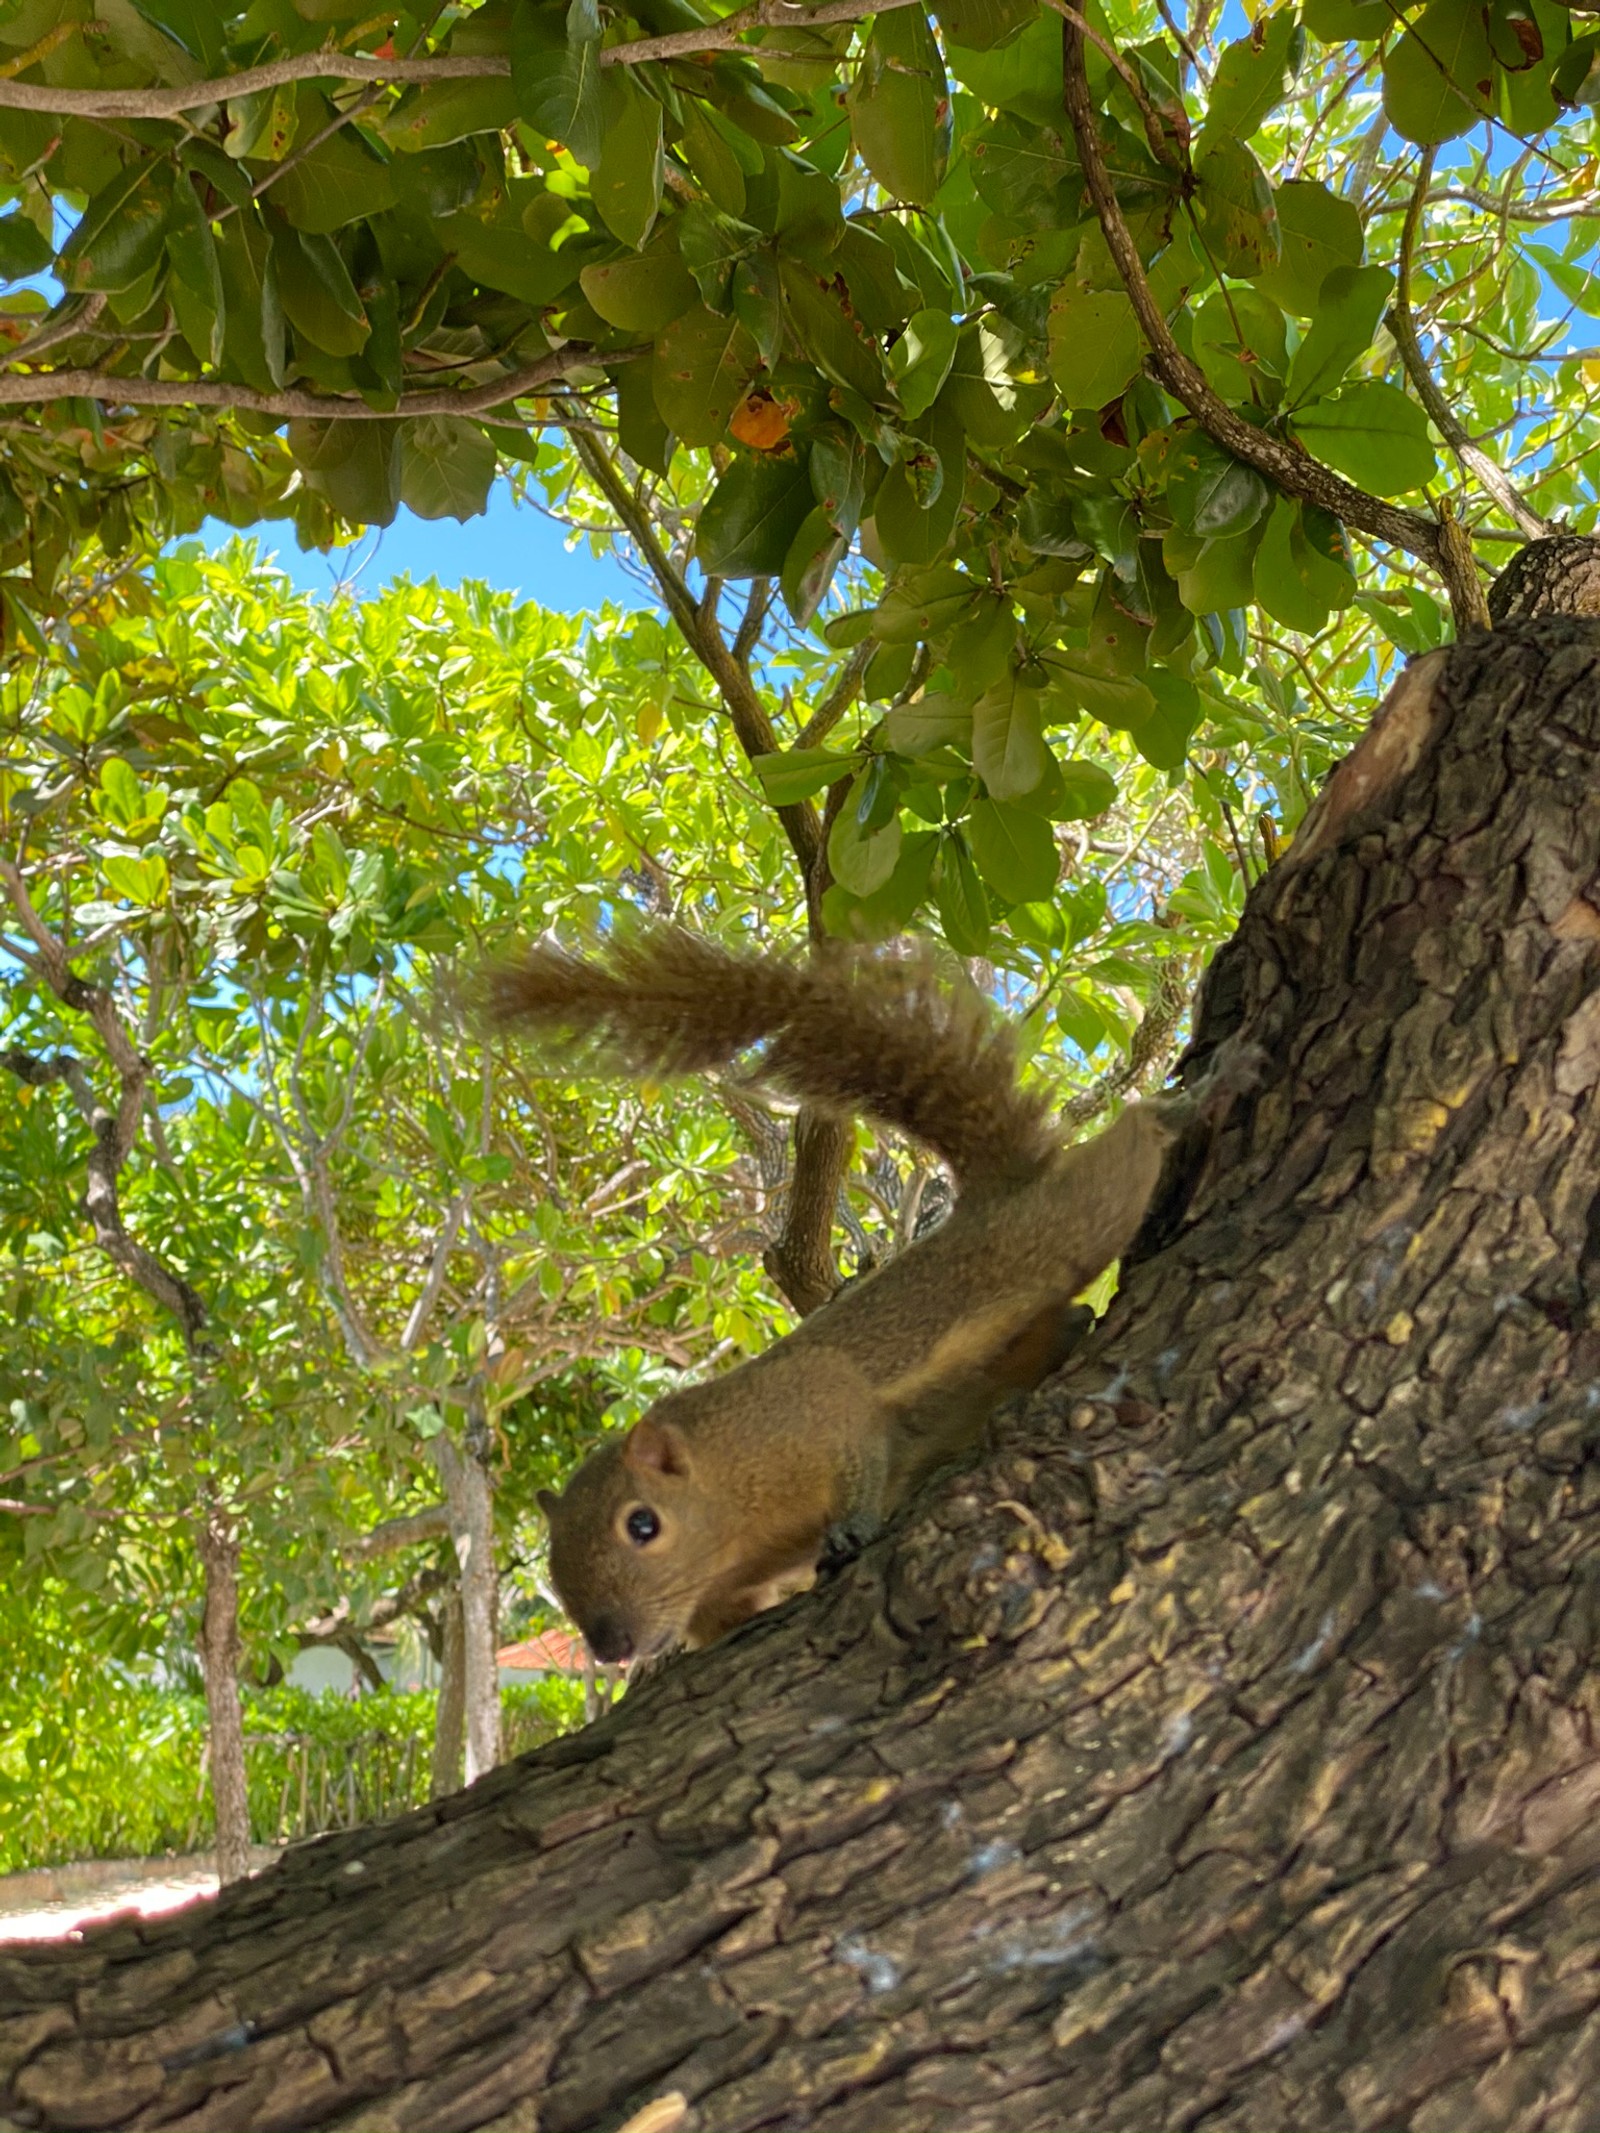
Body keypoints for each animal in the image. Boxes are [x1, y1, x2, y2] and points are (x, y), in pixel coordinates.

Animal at [494, 934, 1262, 1663]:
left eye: (643, 1524)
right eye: (556, 1568)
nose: (610, 1647)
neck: (724, 1500)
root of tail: (994, 1194)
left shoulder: (812, 1406)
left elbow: (858, 1443)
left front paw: (851, 1527)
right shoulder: (723, 1593)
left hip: (1058, 1228)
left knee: (1131, 1143)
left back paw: (1207, 1090)